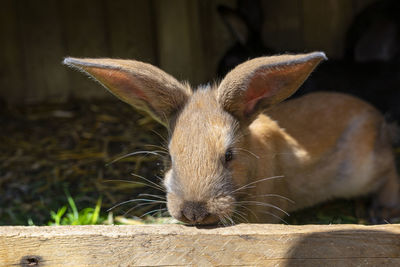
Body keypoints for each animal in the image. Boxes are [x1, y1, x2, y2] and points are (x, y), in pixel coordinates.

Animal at [63, 51, 400, 224]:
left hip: (363, 171)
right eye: (170, 157)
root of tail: (377, 119)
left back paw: (381, 211)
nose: (193, 213)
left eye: (229, 156)